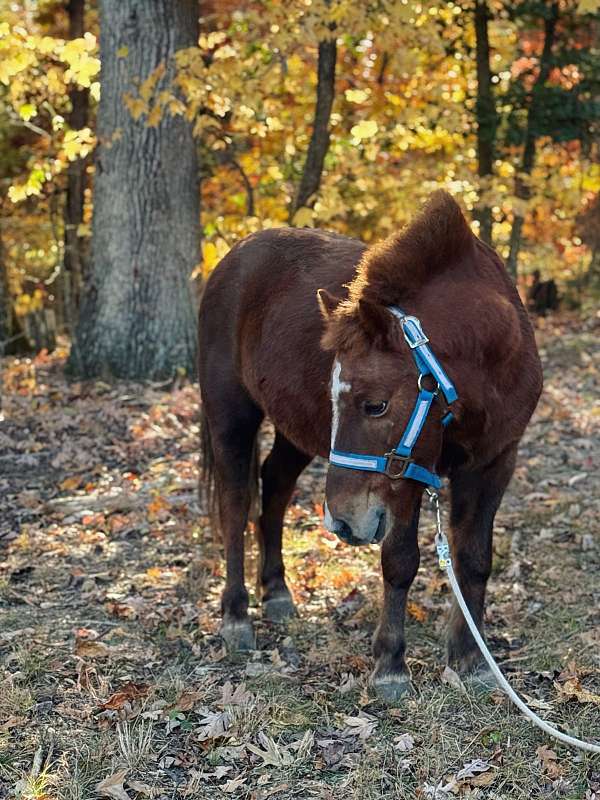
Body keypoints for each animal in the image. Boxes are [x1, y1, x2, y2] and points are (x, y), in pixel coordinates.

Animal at [198, 192, 544, 700]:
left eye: (375, 405)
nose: (342, 522)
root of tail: (234, 257)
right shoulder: (405, 476)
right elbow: (400, 561)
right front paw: (391, 666)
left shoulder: (494, 462)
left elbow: (475, 559)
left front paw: (471, 659)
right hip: (231, 418)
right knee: (236, 507)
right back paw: (237, 616)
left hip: (294, 431)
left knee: (275, 487)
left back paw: (277, 592)